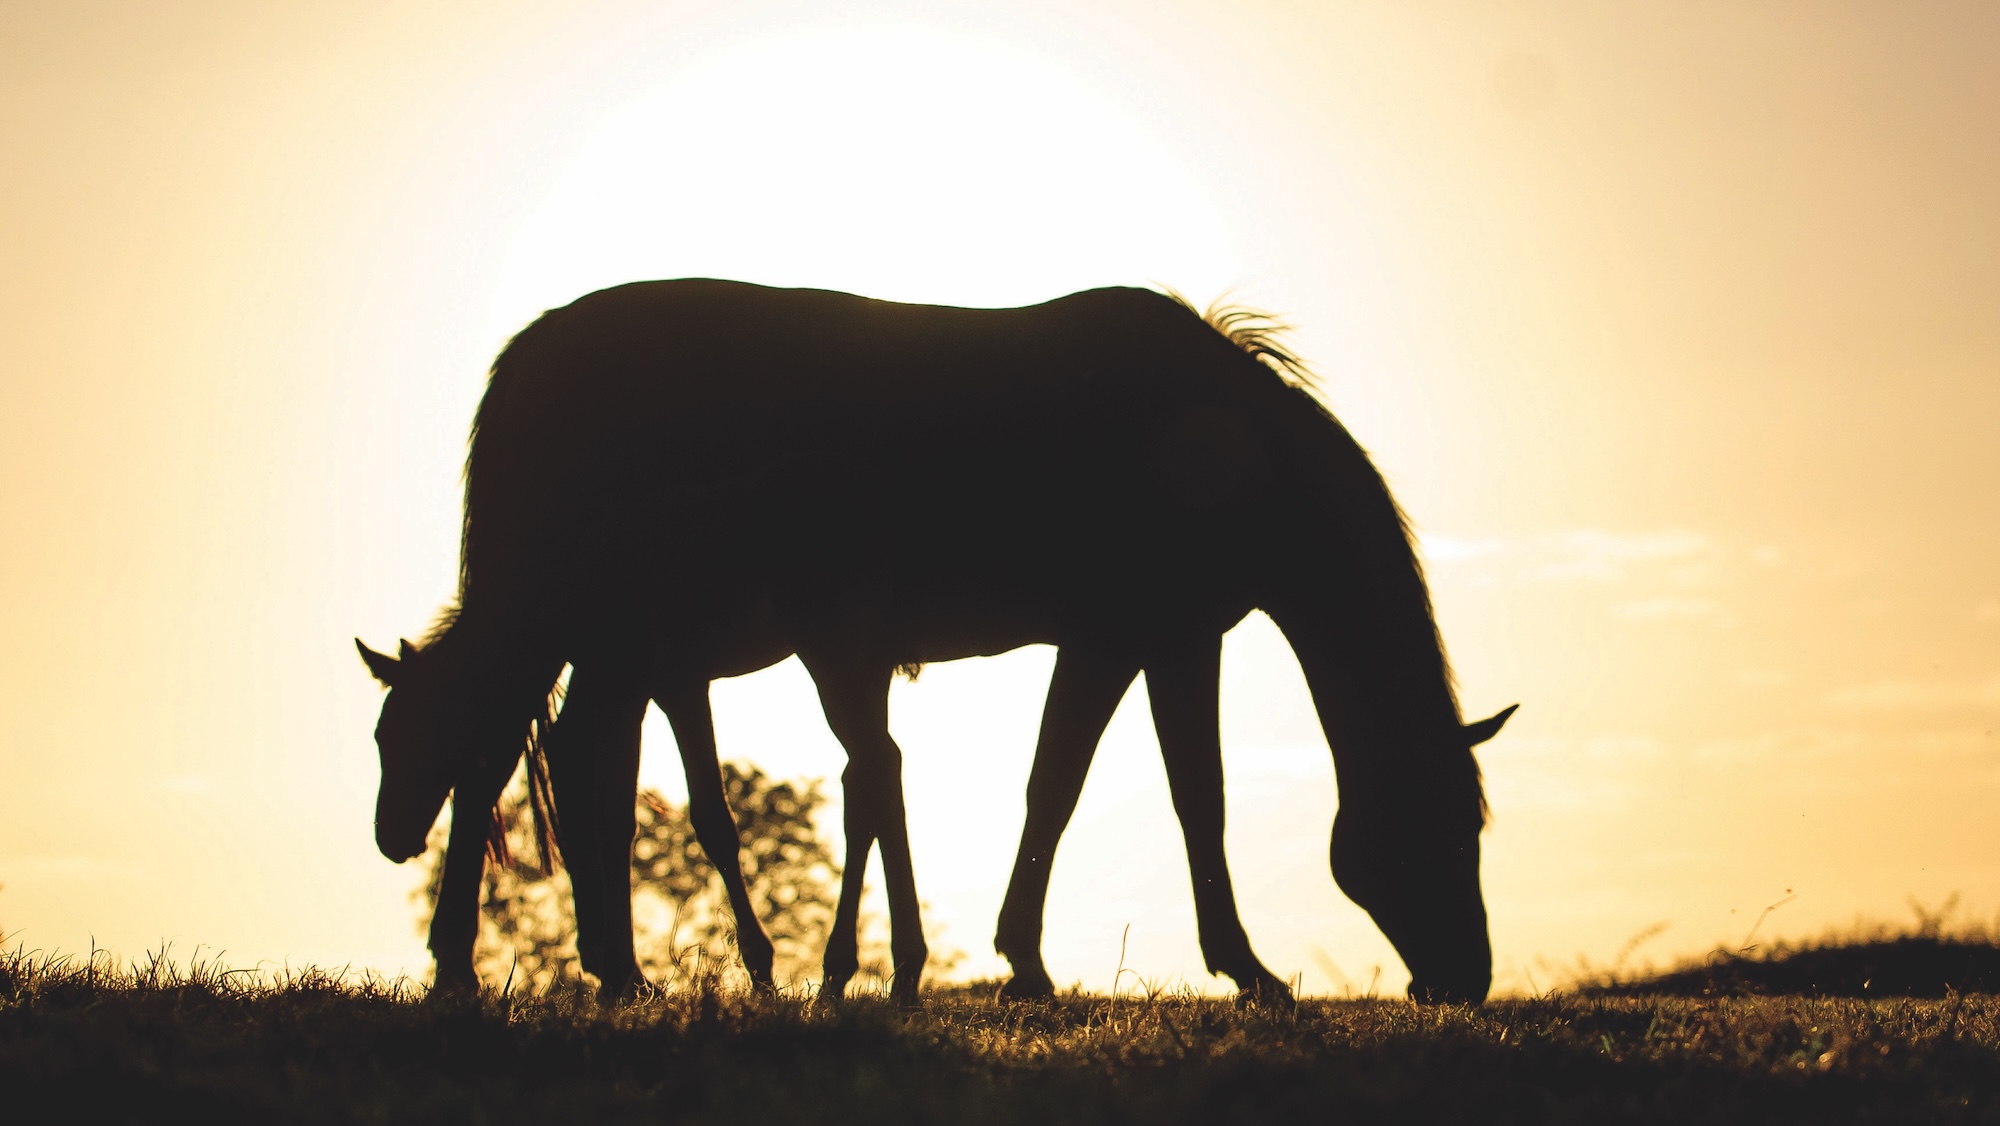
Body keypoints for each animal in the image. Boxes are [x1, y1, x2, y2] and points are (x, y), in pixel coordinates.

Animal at [361, 278, 1514, 1004]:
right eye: (1447, 825)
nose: (1468, 981)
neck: (1232, 447)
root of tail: (529, 350)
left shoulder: (1121, 639)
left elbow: (1065, 787)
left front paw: (1023, 961)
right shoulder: (1154, 635)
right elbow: (1175, 797)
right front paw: (1240, 970)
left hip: (601, 635)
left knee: (537, 748)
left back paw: (588, 966)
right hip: (580, 620)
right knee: (509, 747)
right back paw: (508, 967)